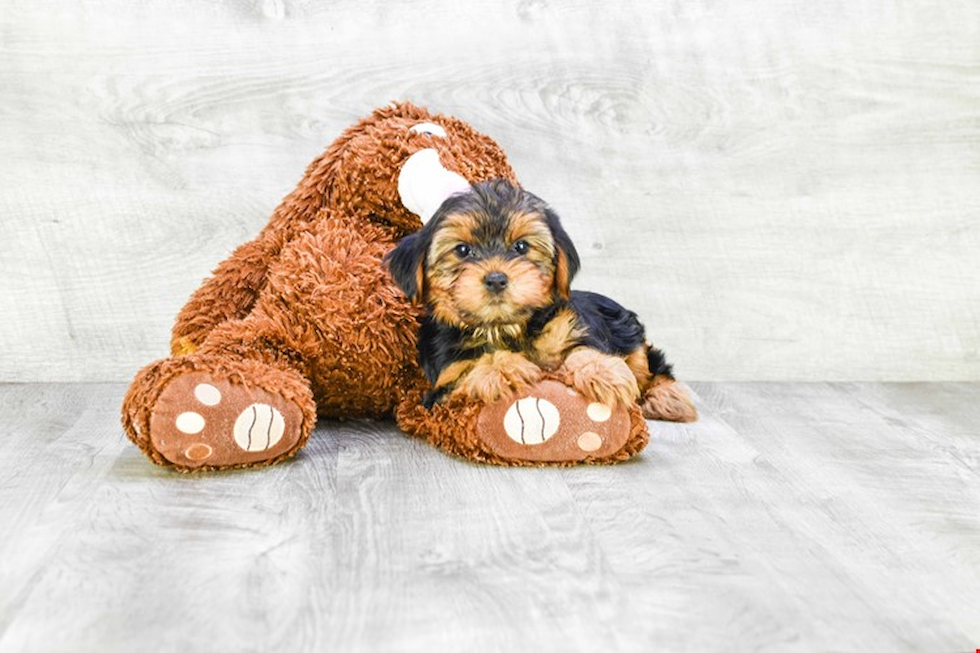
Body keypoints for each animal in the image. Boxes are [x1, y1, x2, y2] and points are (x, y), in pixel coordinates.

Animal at [382, 180, 696, 422]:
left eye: (521, 247)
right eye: (462, 250)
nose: (496, 279)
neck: (504, 327)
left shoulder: (571, 328)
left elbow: (584, 350)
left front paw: (603, 373)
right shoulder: (442, 384)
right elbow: (473, 367)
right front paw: (504, 368)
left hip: (632, 337)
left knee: (652, 365)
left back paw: (667, 397)